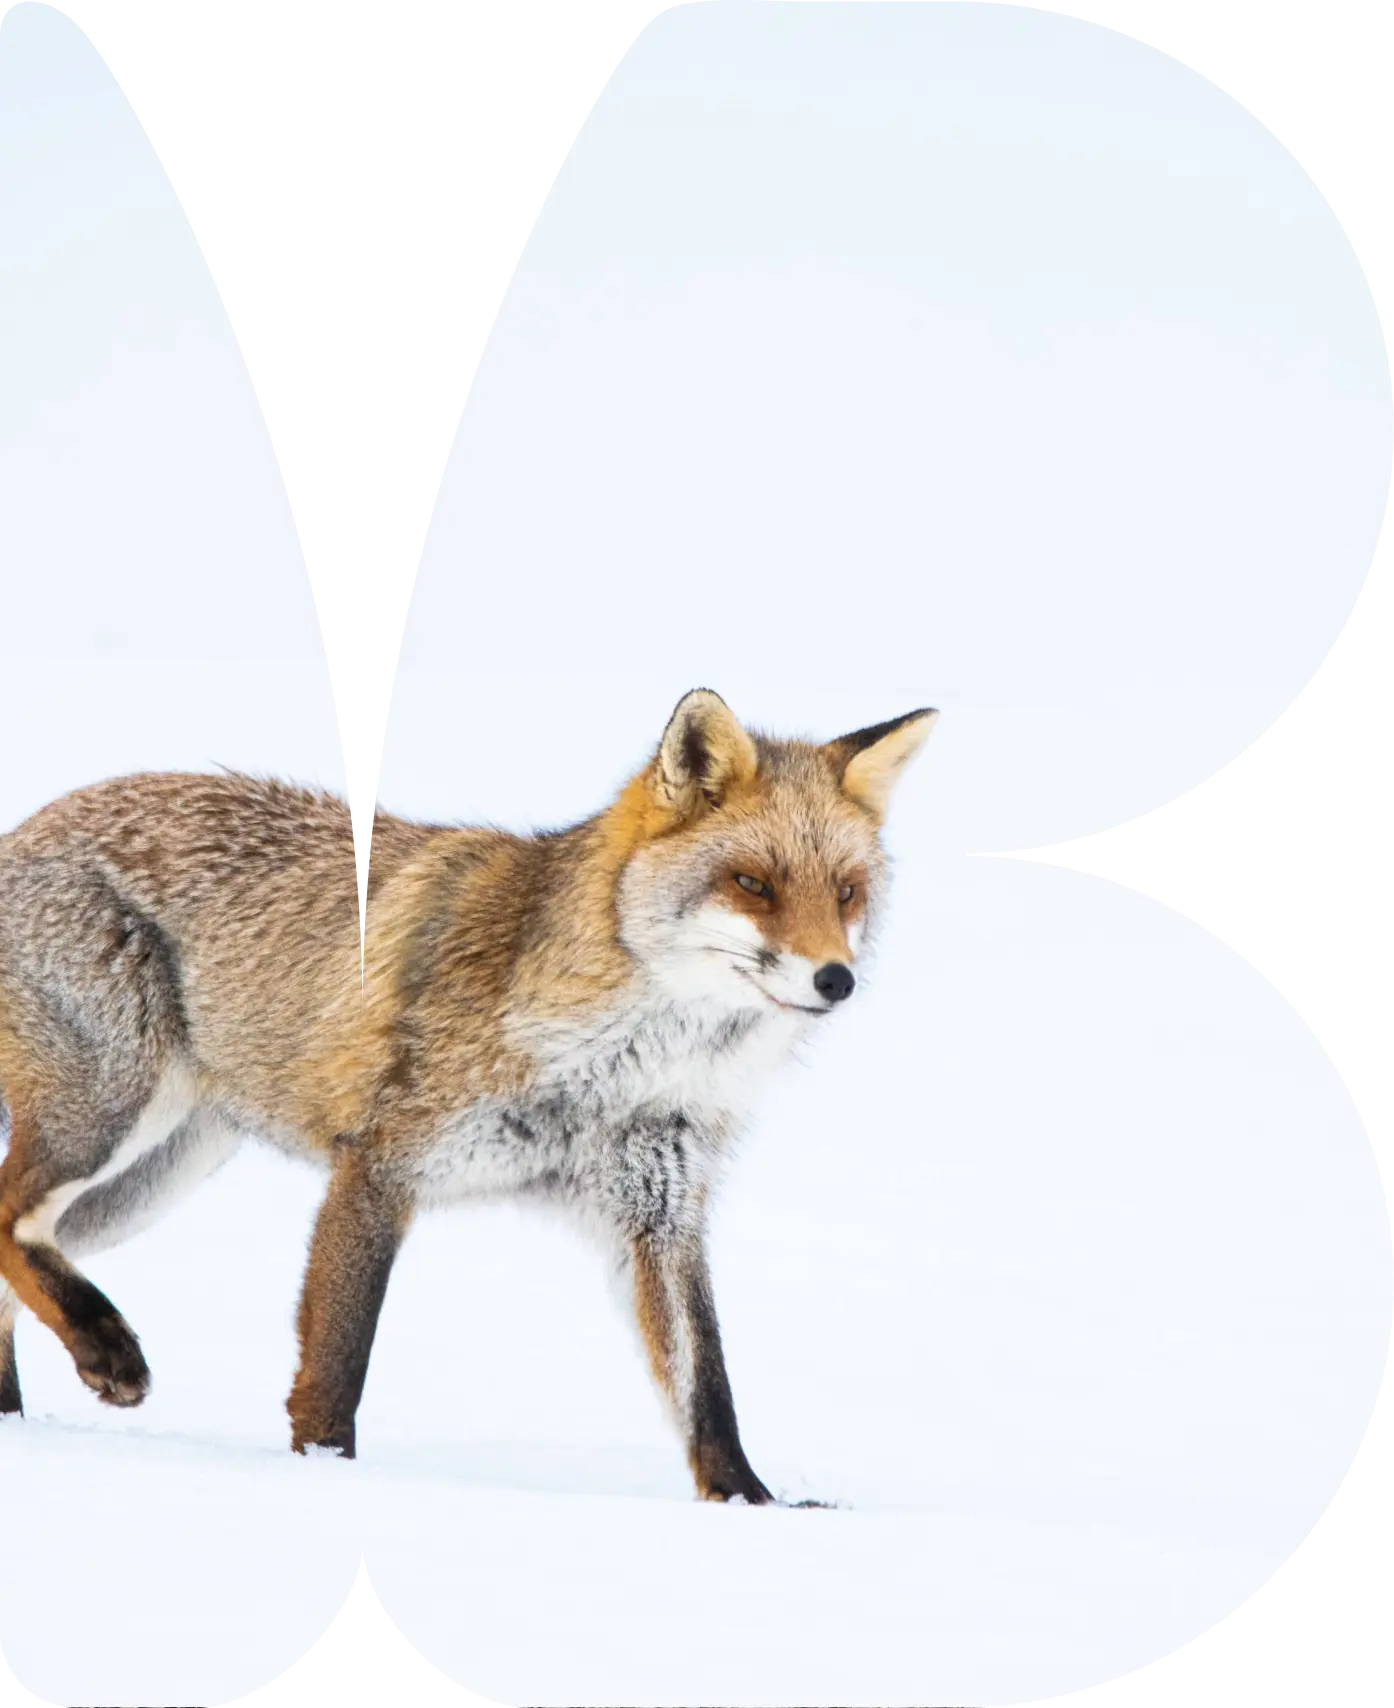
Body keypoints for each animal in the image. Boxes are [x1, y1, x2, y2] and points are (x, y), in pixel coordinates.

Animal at [0, 688, 935, 1501]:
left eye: (846, 892)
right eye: (752, 883)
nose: (836, 979)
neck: (610, 1070)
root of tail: (27, 826)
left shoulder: (659, 1212)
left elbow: (708, 1391)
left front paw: (750, 1506)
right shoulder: (379, 1167)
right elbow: (335, 1371)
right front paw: (323, 1481)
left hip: (153, 1176)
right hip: (111, 1116)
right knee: (9, 1218)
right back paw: (105, 1351)